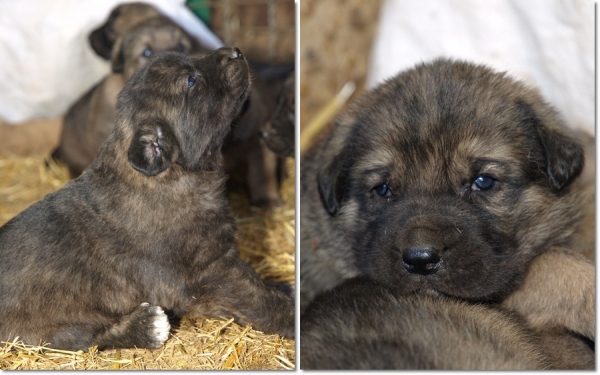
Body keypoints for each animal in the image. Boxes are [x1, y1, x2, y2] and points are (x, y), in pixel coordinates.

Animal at [0, 47, 292, 352]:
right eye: (191, 81)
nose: (235, 51)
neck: (170, 176)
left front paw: (284, 286)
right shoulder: (211, 272)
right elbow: (259, 298)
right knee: (88, 338)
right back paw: (148, 326)